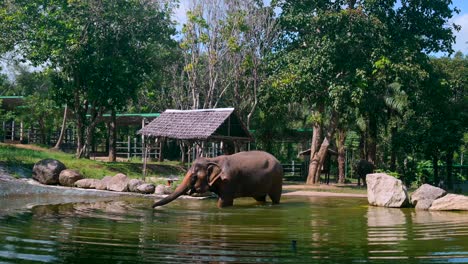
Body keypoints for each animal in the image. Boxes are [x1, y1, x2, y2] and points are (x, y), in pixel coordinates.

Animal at [154, 151, 284, 208]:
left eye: (194, 177)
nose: (152, 207)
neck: (212, 159)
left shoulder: (229, 181)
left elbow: (224, 202)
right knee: (260, 198)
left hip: (277, 179)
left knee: (275, 198)